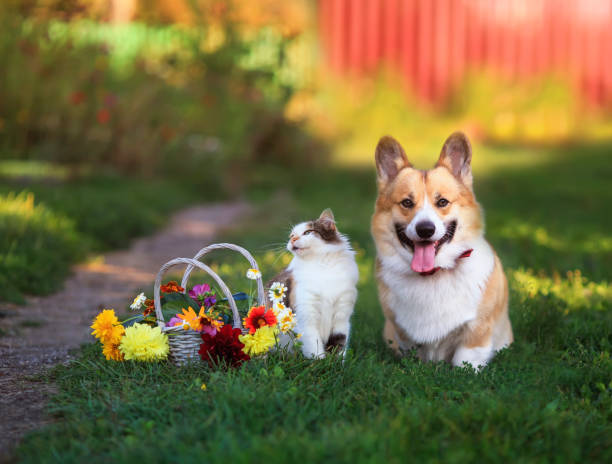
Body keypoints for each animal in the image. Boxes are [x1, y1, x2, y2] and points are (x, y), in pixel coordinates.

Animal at [268, 208, 358, 358]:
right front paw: (319, 362)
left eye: (307, 232)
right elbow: (314, 347)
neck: (320, 264)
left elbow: (339, 346)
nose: (292, 239)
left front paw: (336, 363)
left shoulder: (342, 316)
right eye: (292, 235)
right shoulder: (306, 316)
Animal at [372, 132, 512, 368]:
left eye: (443, 202)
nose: (425, 229)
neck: (433, 274)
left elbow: (466, 360)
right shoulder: (402, 333)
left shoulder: (476, 332)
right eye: (407, 203)